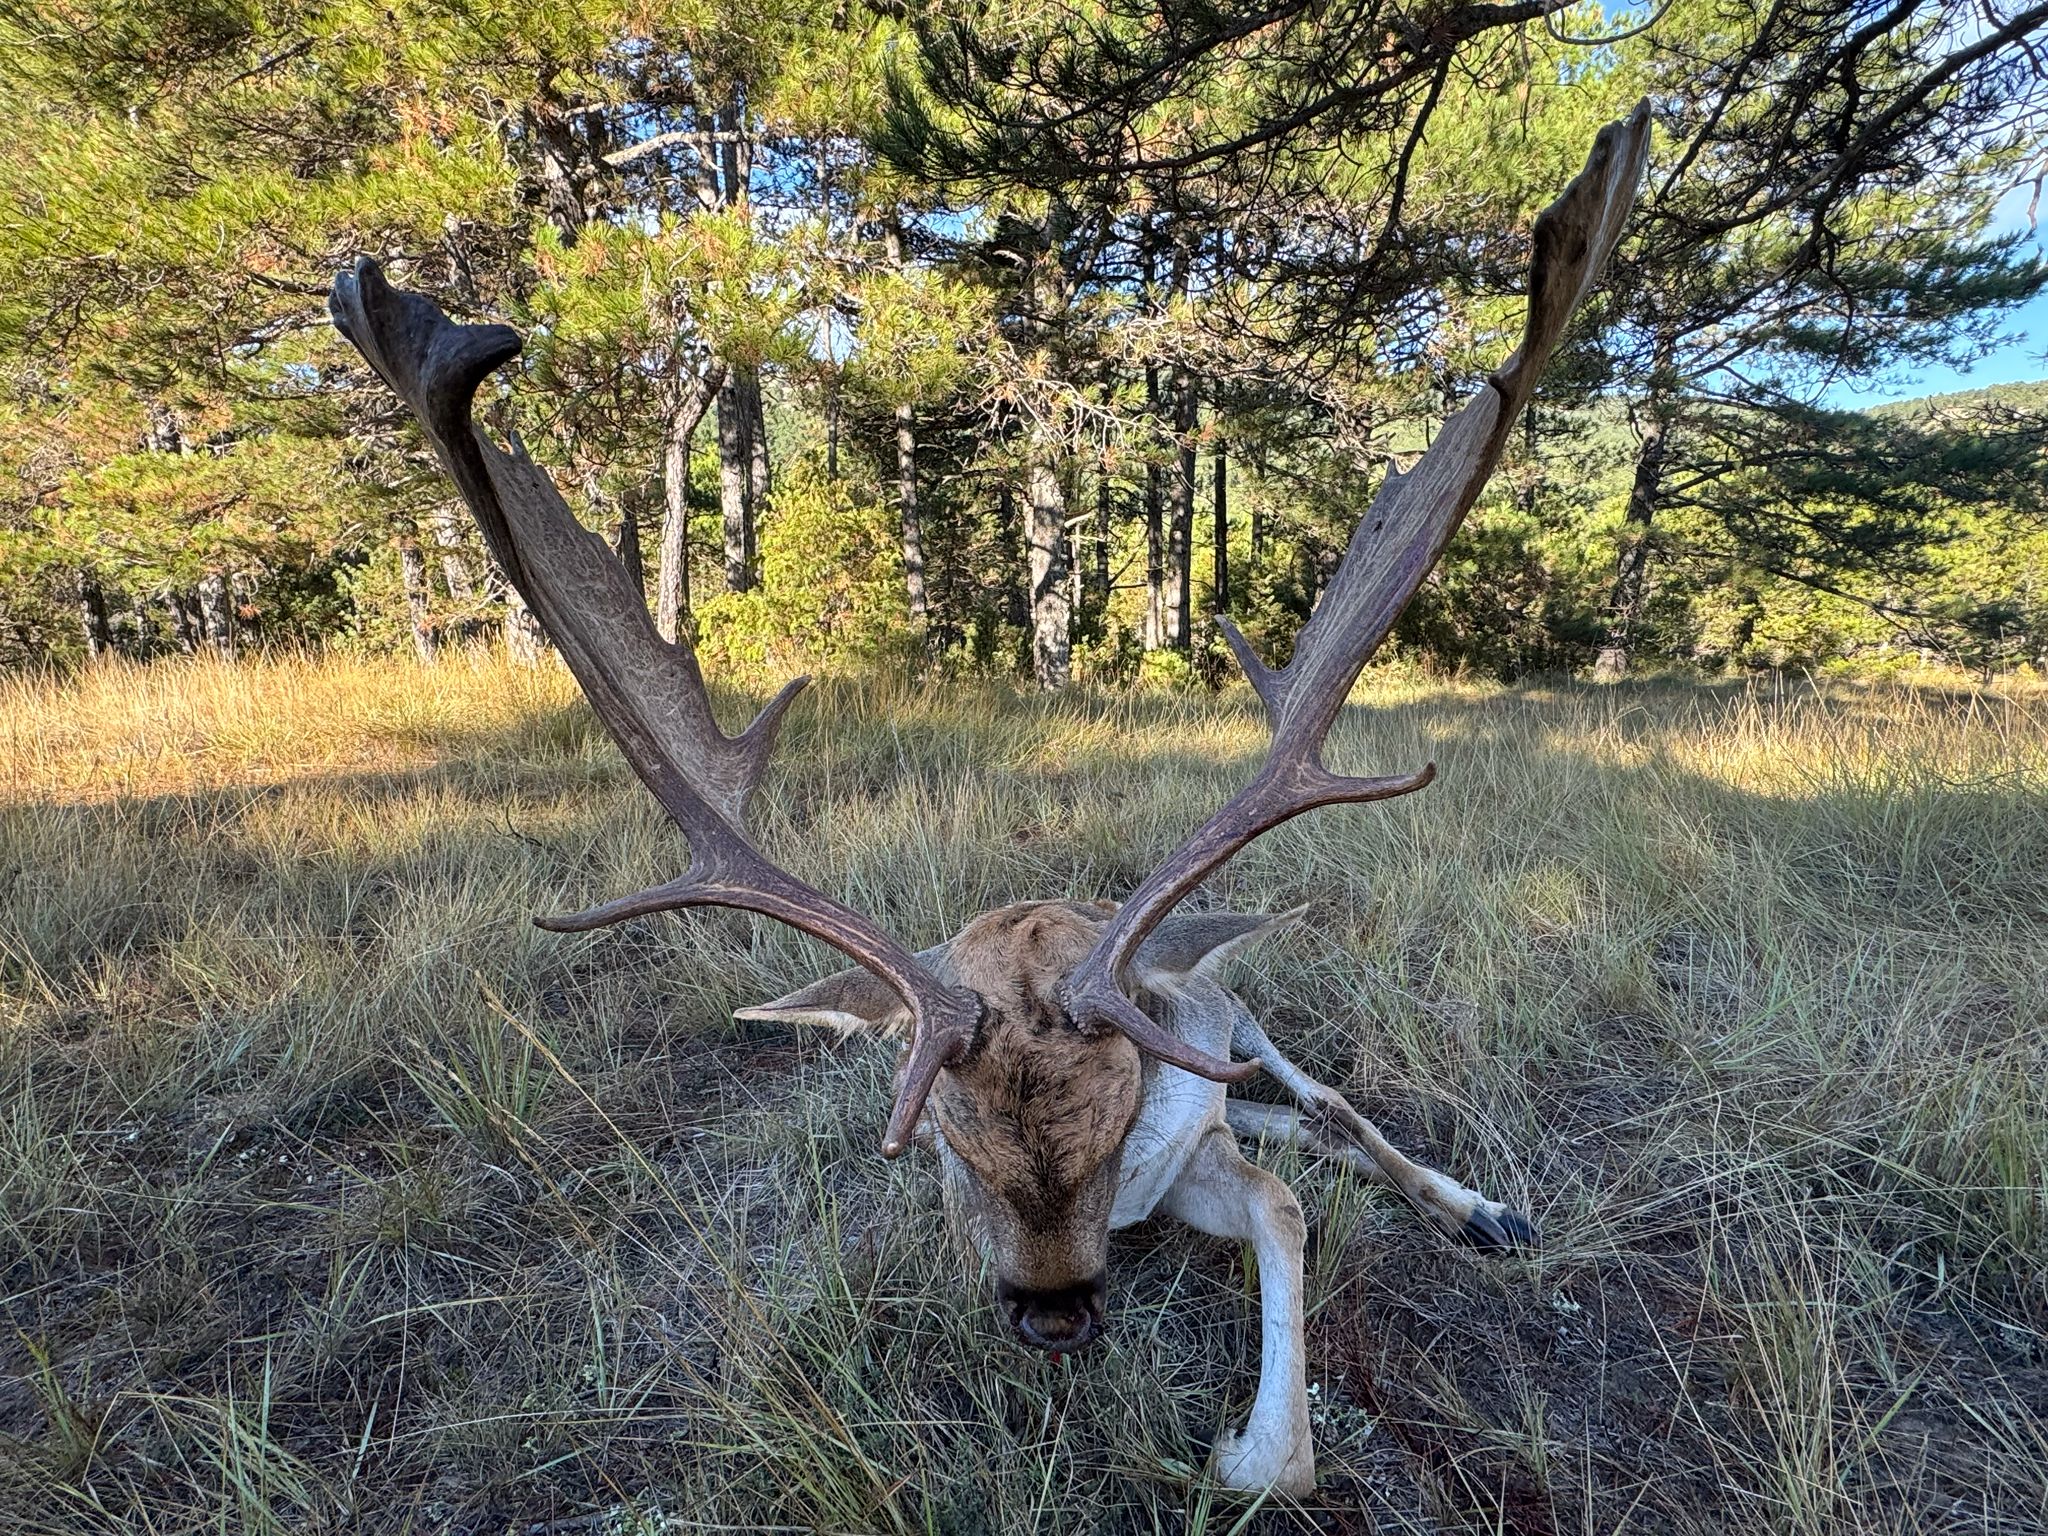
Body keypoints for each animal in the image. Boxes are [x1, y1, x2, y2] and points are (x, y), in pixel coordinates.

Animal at [328, 103, 1649, 1497]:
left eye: (1115, 1134)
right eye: (946, 1153)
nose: (1056, 1315)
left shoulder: (1198, 1126)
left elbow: (1279, 1340)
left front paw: (1248, 1435)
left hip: (1238, 1005)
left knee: (1331, 1109)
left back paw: (1482, 1208)